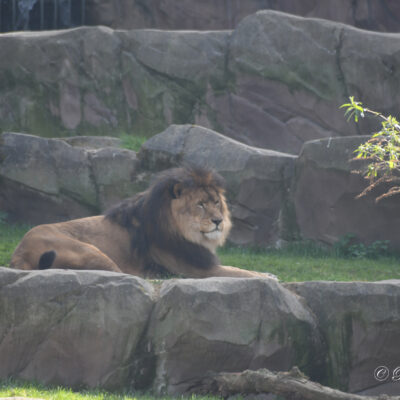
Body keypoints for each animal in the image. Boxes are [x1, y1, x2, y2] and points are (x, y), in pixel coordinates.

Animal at [10, 167, 278, 280]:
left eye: (216, 202)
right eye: (200, 204)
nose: (218, 221)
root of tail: (19, 252)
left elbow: (242, 269)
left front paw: (267, 273)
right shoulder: (198, 269)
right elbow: (241, 272)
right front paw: (269, 277)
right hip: (92, 250)